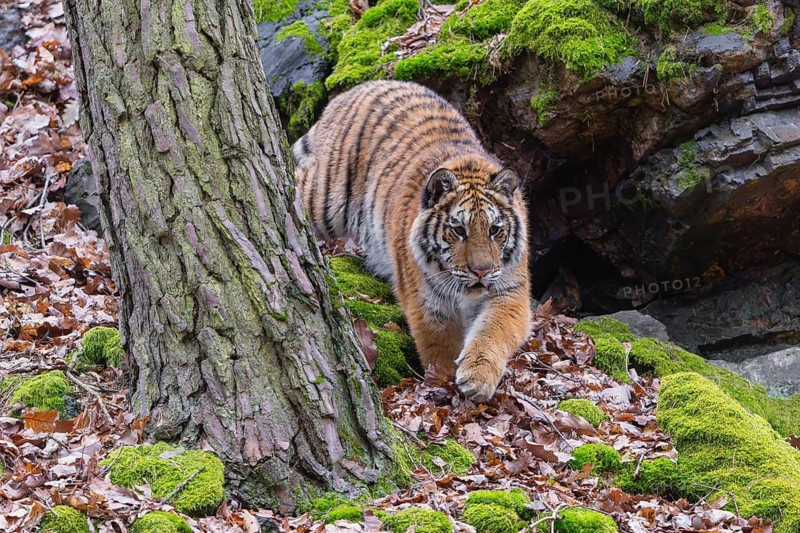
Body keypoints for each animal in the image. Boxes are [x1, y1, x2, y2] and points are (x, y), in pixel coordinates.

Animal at [293, 80, 531, 402]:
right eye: (459, 230)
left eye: (495, 230)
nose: (481, 271)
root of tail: (353, 90)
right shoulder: (426, 302)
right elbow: (439, 348)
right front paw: (442, 380)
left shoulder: (509, 291)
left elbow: (492, 332)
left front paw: (478, 378)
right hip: (325, 196)